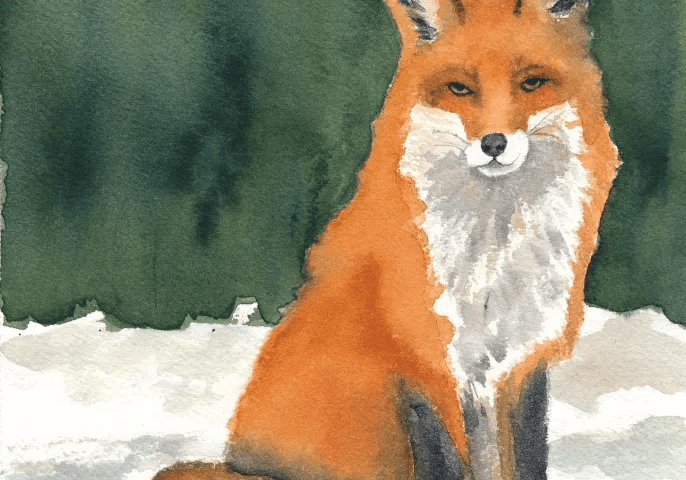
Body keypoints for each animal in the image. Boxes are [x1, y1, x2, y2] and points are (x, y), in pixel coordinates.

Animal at [154, 1, 620, 479]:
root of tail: (238, 461)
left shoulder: (521, 359)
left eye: (531, 83)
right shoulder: (425, 366)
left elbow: (525, 459)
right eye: (459, 88)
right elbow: (447, 462)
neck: (492, 249)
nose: (494, 143)